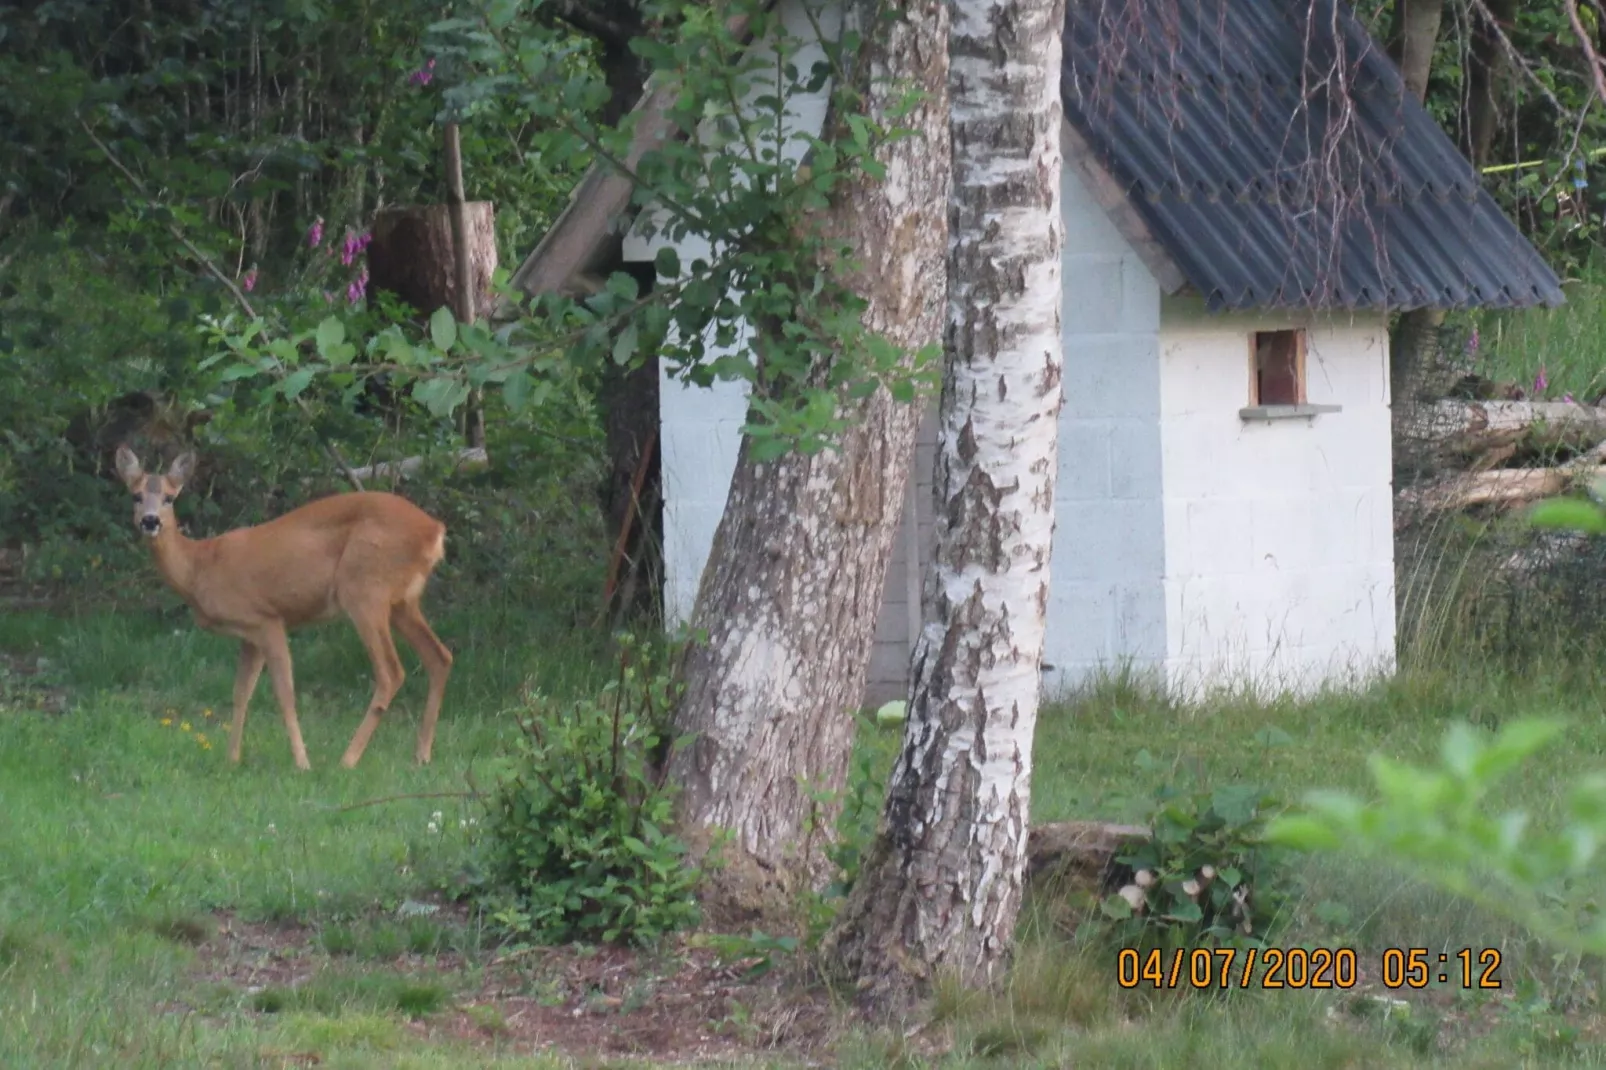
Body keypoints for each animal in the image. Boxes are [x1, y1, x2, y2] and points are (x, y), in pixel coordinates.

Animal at [114, 446, 452, 771]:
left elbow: (284, 693)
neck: (200, 567)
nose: (150, 521)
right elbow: (240, 693)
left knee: (391, 671)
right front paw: (232, 760)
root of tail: (434, 530)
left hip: (364, 589)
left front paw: (302, 763)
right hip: (402, 601)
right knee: (440, 656)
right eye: (136, 495)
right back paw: (421, 755)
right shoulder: (248, 635)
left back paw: (348, 760)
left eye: (169, 498)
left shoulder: (267, 618)